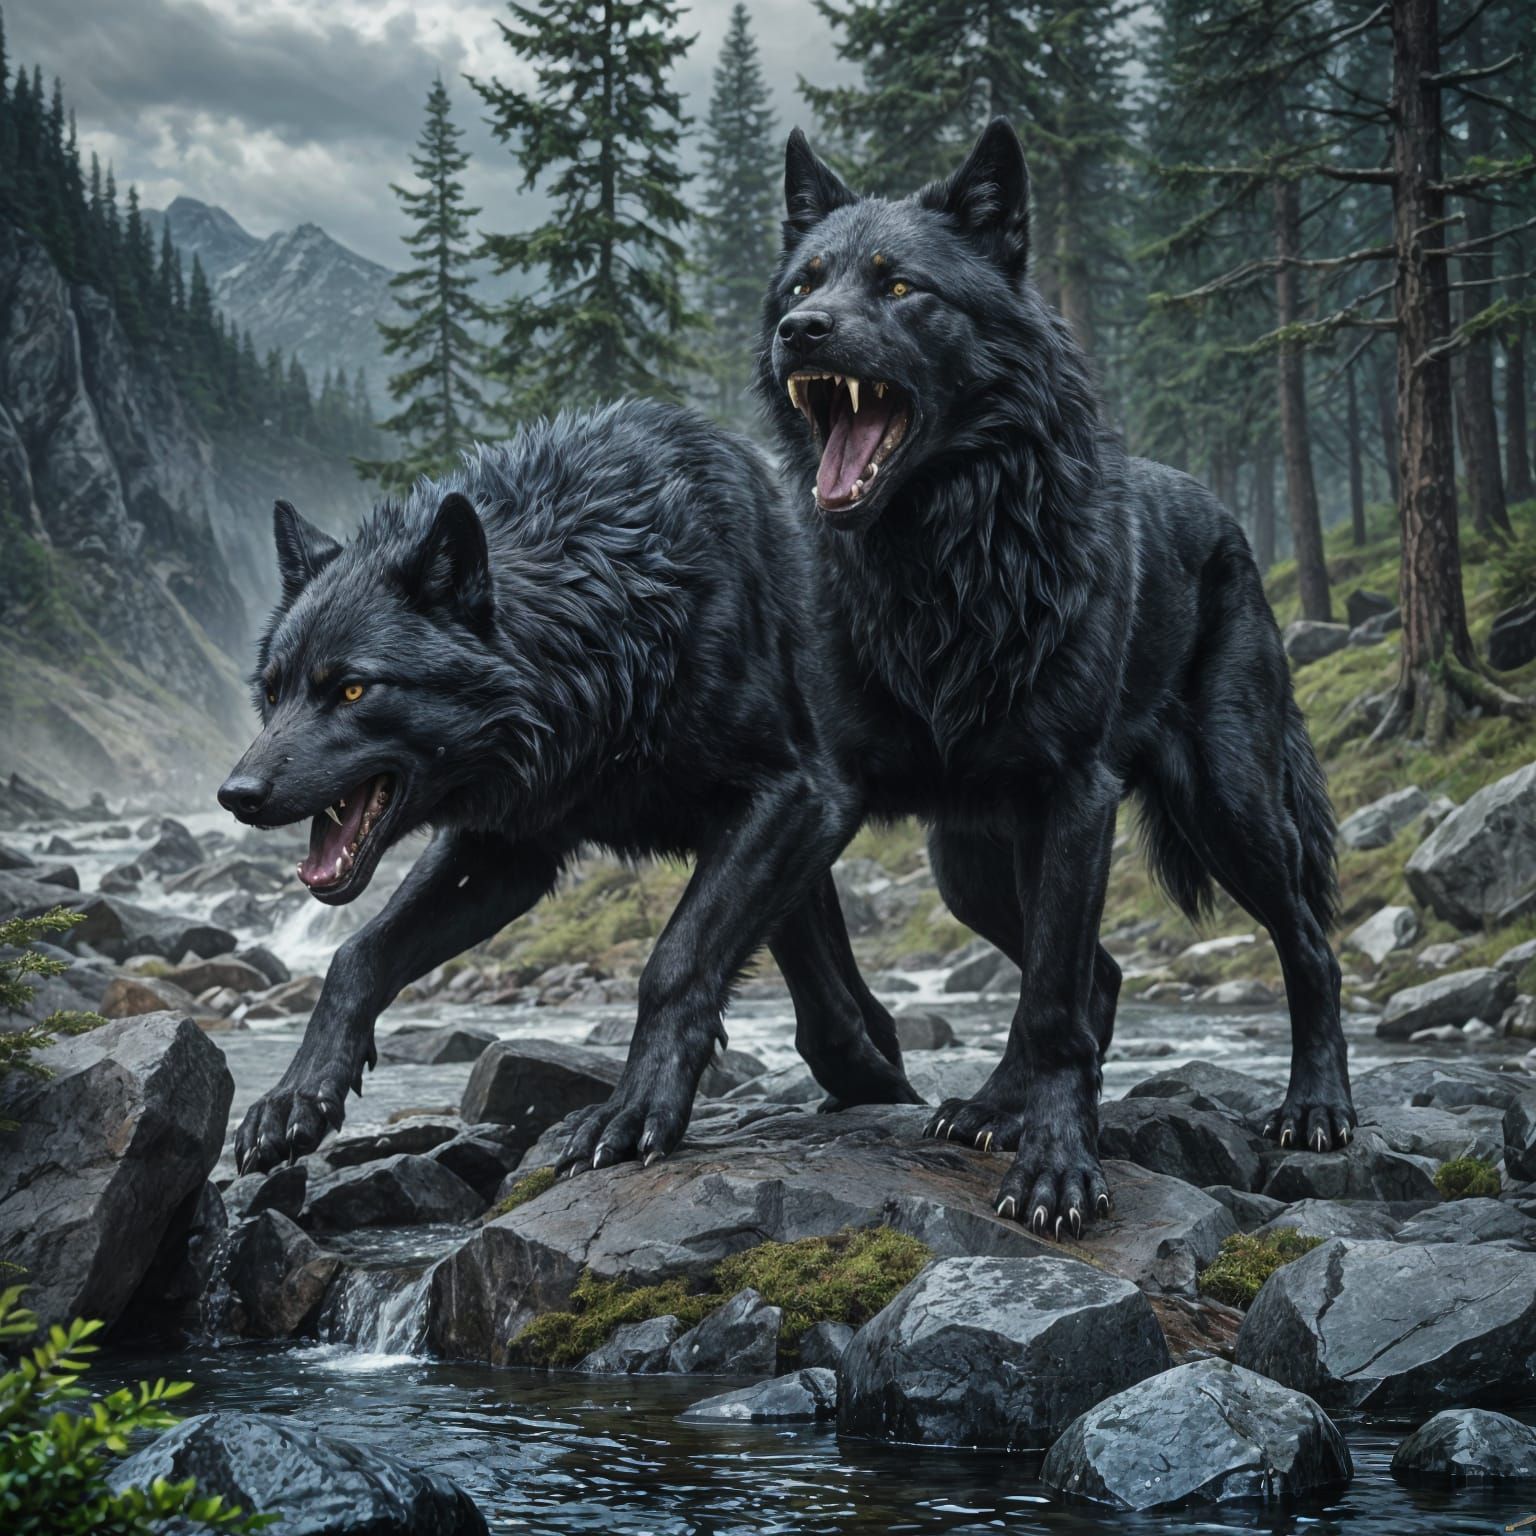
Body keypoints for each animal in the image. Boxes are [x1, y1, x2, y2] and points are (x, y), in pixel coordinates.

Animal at [221, 400, 918, 1176]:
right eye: (272, 691)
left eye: (351, 689)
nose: (236, 795)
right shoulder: (508, 851)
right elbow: (356, 956)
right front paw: (297, 1096)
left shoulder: (798, 798)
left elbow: (676, 962)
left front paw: (636, 1109)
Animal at [757, 119, 1352, 1237]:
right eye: (804, 283)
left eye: (897, 286)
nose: (800, 332)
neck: (944, 561)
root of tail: (1225, 515)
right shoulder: (828, 786)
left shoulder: (1076, 795)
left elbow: (1048, 1004)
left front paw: (1058, 1172)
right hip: (968, 863)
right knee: (1097, 974)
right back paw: (994, 1107)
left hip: (1231, 806)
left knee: (1305, 942)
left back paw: (1317, 1108)